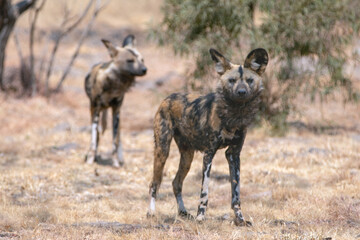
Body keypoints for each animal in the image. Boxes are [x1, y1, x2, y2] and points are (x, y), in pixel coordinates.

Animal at [84, 35, 146, 167]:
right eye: (130, 61)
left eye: (142, 60)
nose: (145, 69)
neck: (112, 85)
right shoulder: (94, 110)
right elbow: (94, 138)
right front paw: (90, 159)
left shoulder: (116, 111)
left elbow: (114, 141)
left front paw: (116, 162)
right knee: (97, 134)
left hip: (117, 115)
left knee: (118, 138)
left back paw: (120, 157)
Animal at [146, 47, 268, 226]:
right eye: (232, 80)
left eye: (249, 80)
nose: (241, 92)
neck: (234, 115)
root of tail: (168, 97)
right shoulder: (209, 154)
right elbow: (204, 192)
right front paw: (201, 217)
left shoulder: (233, 154)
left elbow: (236, 193)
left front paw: (240, 220)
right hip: (162, 150)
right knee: (155, 183)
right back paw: (151, 212)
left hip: (187, 157)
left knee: (176, 183)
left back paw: (183, 212)